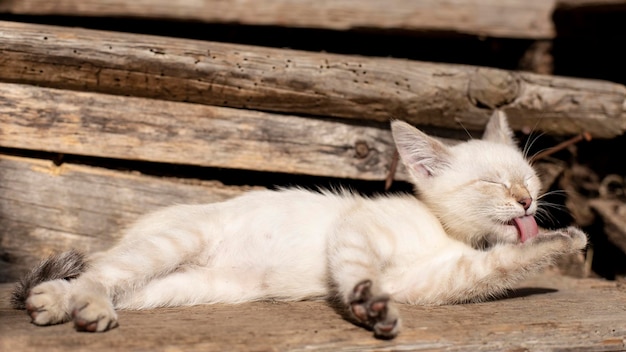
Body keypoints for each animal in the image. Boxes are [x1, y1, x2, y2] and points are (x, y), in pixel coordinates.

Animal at [12, 110, 584, 338]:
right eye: (492, 183)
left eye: (527, 178)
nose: (528, 200)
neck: (444, 231)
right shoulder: (356, 228)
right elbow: (356, 268)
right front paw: (365, 301)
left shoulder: (434, 280)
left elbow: (498, 268)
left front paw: (566, 240)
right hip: (172, 242)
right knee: (100, 271)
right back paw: (73, 304)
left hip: (179, 288)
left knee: (113, 282)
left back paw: (67, 305)